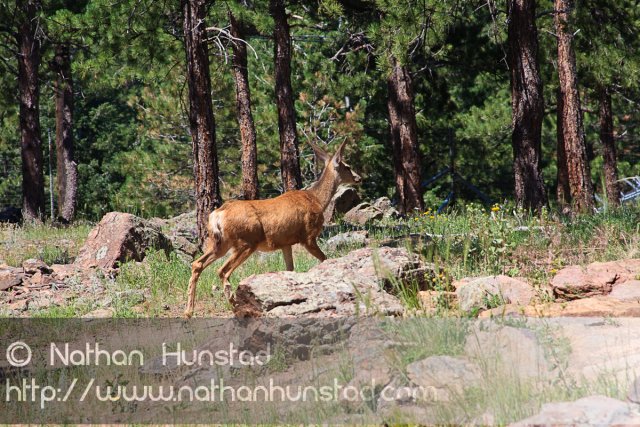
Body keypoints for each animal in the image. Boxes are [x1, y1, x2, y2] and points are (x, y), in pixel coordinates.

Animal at [184, 140, 362, 318]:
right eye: (347, 166)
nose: (358, 178)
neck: (317, 199)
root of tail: (218, 214)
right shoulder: (308, 237)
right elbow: (325, 259)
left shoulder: (286, 243)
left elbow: (290, 269)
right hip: (246, 242)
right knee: (222, 270)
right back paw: (234, 305)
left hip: (220, 243)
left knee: (197, 264)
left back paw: (189, 311)